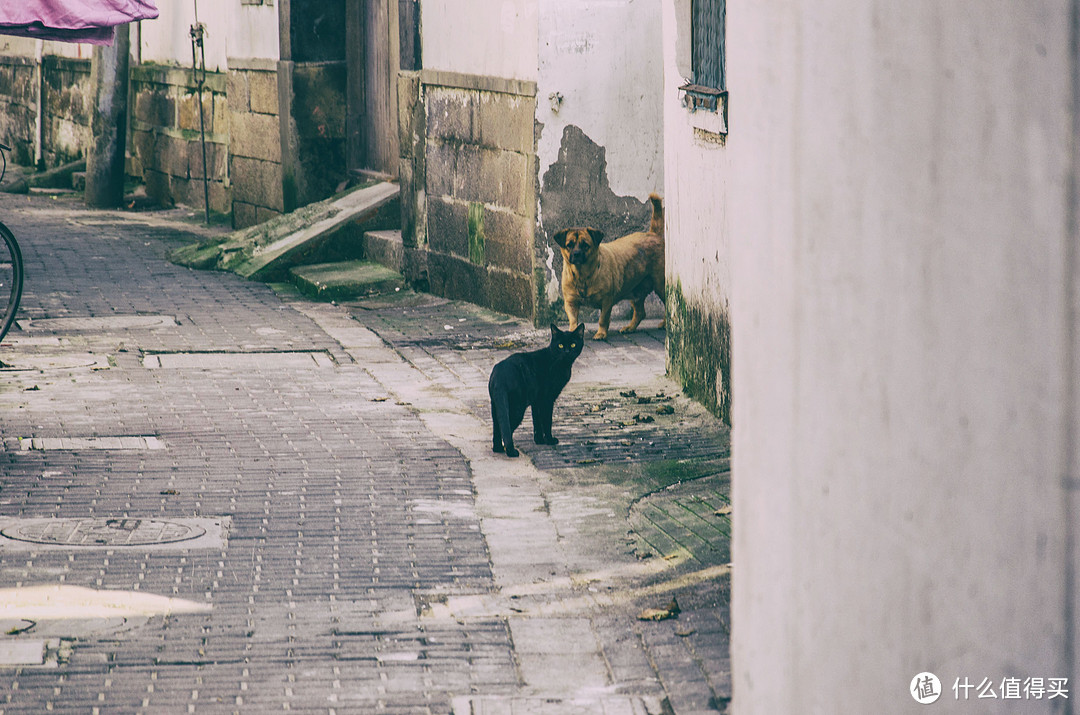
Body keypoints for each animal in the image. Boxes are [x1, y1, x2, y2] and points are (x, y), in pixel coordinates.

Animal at [488, 324, 583, 460]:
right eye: (560, 345)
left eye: (573, 344)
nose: (567, 352)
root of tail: (500, 375)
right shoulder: (547, 400)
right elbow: (547, 421)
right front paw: (549, 440)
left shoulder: (536, 401)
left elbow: (537, 421)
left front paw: (539, 440)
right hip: (517, 408)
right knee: (506, 429)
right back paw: (510, 451)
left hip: (496, 406)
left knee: (497, 427)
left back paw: (499, 449)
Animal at [557, 194, 665, 341]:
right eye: (569, 245)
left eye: (585, 245)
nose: (577, 254)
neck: (583, 275)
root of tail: (653, 234)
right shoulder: (571, 303)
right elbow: (573, 321)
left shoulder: (606, 301)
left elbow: (603, 319)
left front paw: (601, 333)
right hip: (635, 291)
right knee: (640, 312)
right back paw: (630, 327)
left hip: (661, 286)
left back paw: (665, 323)